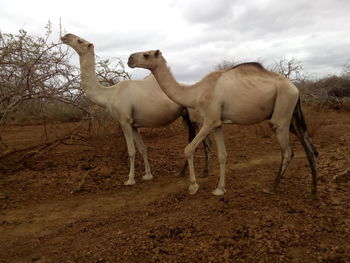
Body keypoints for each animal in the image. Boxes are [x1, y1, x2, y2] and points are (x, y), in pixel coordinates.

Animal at [60, 35, 209, 187]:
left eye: (80, 41)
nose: (65, 36)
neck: (110, 94)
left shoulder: (124, 120)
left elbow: (131, 151)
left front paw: (130, 179)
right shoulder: (133, 124)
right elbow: (142, 148)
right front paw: (148, 175)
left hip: (197, 117)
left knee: (205, 142)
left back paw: (205, 172)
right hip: (186, 117)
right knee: (193, 140)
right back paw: (181, 172)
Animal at [128, 49, 318, 198]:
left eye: (146, 54)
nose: (130, 59)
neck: (194, 93)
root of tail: (296, 88)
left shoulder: (210, 120)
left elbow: (189, 149)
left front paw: (193, 186)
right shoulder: (218, 123)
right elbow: (222, 155)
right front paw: (219, 189)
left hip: (282, 112)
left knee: (287, 151)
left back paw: (271, 188)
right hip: (293, 116)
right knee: (310, 149)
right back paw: (313, 191)